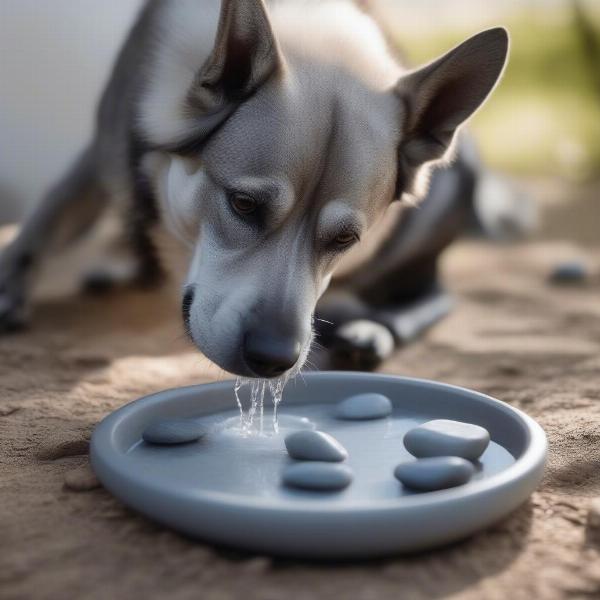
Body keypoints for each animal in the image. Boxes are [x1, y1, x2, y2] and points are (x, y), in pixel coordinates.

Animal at [0, 1, 510, 380]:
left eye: (346, 238)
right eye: (243, 204)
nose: (272, 358)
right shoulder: (103, 149)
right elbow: (47, 216)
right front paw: (9, 291)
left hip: (445, 197)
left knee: (433, 292)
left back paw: (370, 330)